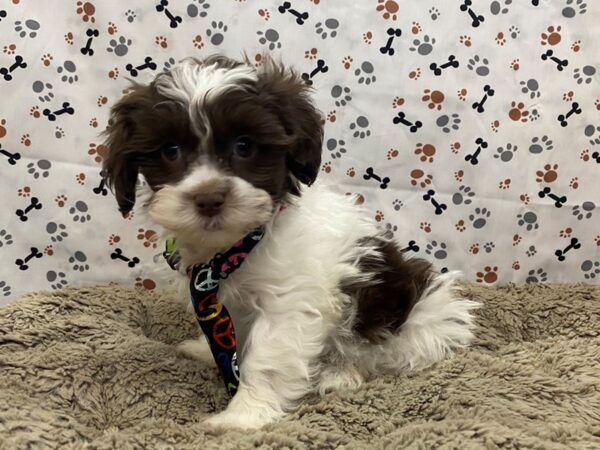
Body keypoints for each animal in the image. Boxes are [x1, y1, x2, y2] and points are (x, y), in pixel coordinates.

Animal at [103, 55, 478, 428]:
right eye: (170, 150)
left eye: (244, 146)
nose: (209, 198)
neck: (237, 247)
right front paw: (204, 350)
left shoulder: (287, 303)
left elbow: (266, 357)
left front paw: (243, 415)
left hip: (418, 316)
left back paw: (339, 374)